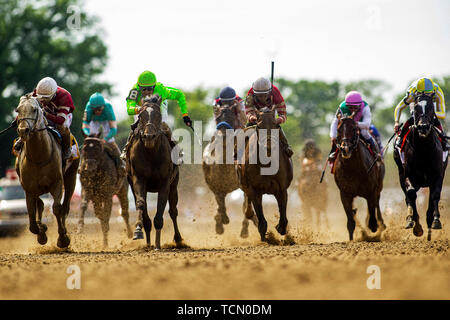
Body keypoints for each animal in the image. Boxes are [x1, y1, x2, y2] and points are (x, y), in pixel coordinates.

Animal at [14, 94, 78, 249]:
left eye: (35, 109)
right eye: (18, 110)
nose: (23, 130)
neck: (39, 157)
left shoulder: (56, 183)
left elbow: (57, 208)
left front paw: (63, 238)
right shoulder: (29, 188)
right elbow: (32, 217)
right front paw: (41, 232)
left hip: (71, 177)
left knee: (65, 207)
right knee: (40, 205)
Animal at [125, 94, 182, 249]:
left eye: (158, 115)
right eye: (141, 115)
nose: (149, 136)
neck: (151, 152)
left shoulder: (165, 183)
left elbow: (161, 209)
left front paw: (157, 244)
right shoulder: (138, 179)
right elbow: (140, 203)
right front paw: (138, 231)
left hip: (174, 184)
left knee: (173, 211)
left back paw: (178, 239)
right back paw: (148, 243)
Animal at [202, 102, 255, 238]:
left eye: (232, 117)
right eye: (217, 119)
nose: (222, 135)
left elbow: (245, 205)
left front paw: (245, 229)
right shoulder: (215, 185)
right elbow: (220, 204)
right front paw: (221, 222)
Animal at [234, 106, 294, 241]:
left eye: (276, 125)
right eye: (259, 126)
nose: (268, 146)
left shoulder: (281, 189)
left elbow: (283, 216)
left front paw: (281, 229)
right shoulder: (254, 190)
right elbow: (260, 217)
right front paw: (266, 236)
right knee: (248, 209)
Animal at [394, 94, 446, 240]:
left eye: (431, 107)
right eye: (416, 108)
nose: (423, 127)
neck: (423, 149)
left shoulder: (437, 175)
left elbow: (435, 195)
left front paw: (435, 221)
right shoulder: (407, 175)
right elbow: (411, 194)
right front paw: (415, 225)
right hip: (401, 174)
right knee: (408, 196)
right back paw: (410, 219)